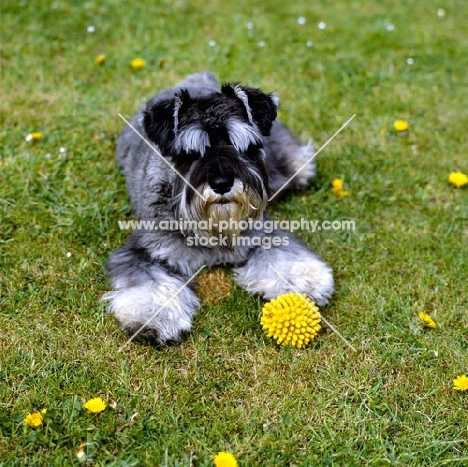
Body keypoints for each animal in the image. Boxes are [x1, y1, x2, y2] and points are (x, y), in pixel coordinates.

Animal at [104, 71, 334, 346]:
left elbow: (282, 255)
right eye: (191, 153)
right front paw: (156, 317)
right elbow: (149, 282)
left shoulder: (260, 232)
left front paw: (306, 281)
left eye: (241, 146)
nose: (222, 183)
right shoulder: (143, 249)